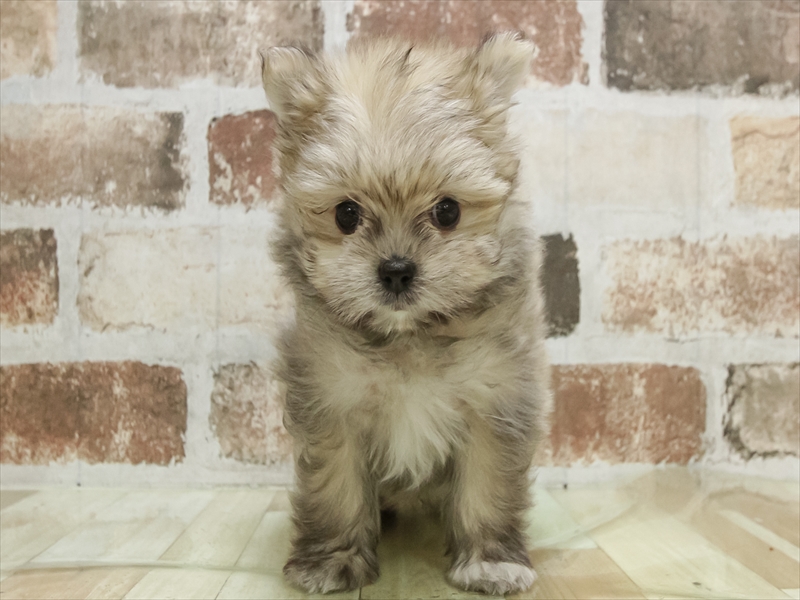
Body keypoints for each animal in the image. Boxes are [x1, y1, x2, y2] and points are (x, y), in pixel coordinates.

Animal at [259, 32, 551, 595]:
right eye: (346, 214)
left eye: (448, 211)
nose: (396, 270)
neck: (407, 337)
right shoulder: (332, 401)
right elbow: (336, 487)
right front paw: (331, 561)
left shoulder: (495, 398)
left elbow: (486, 484)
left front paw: (489, 561)